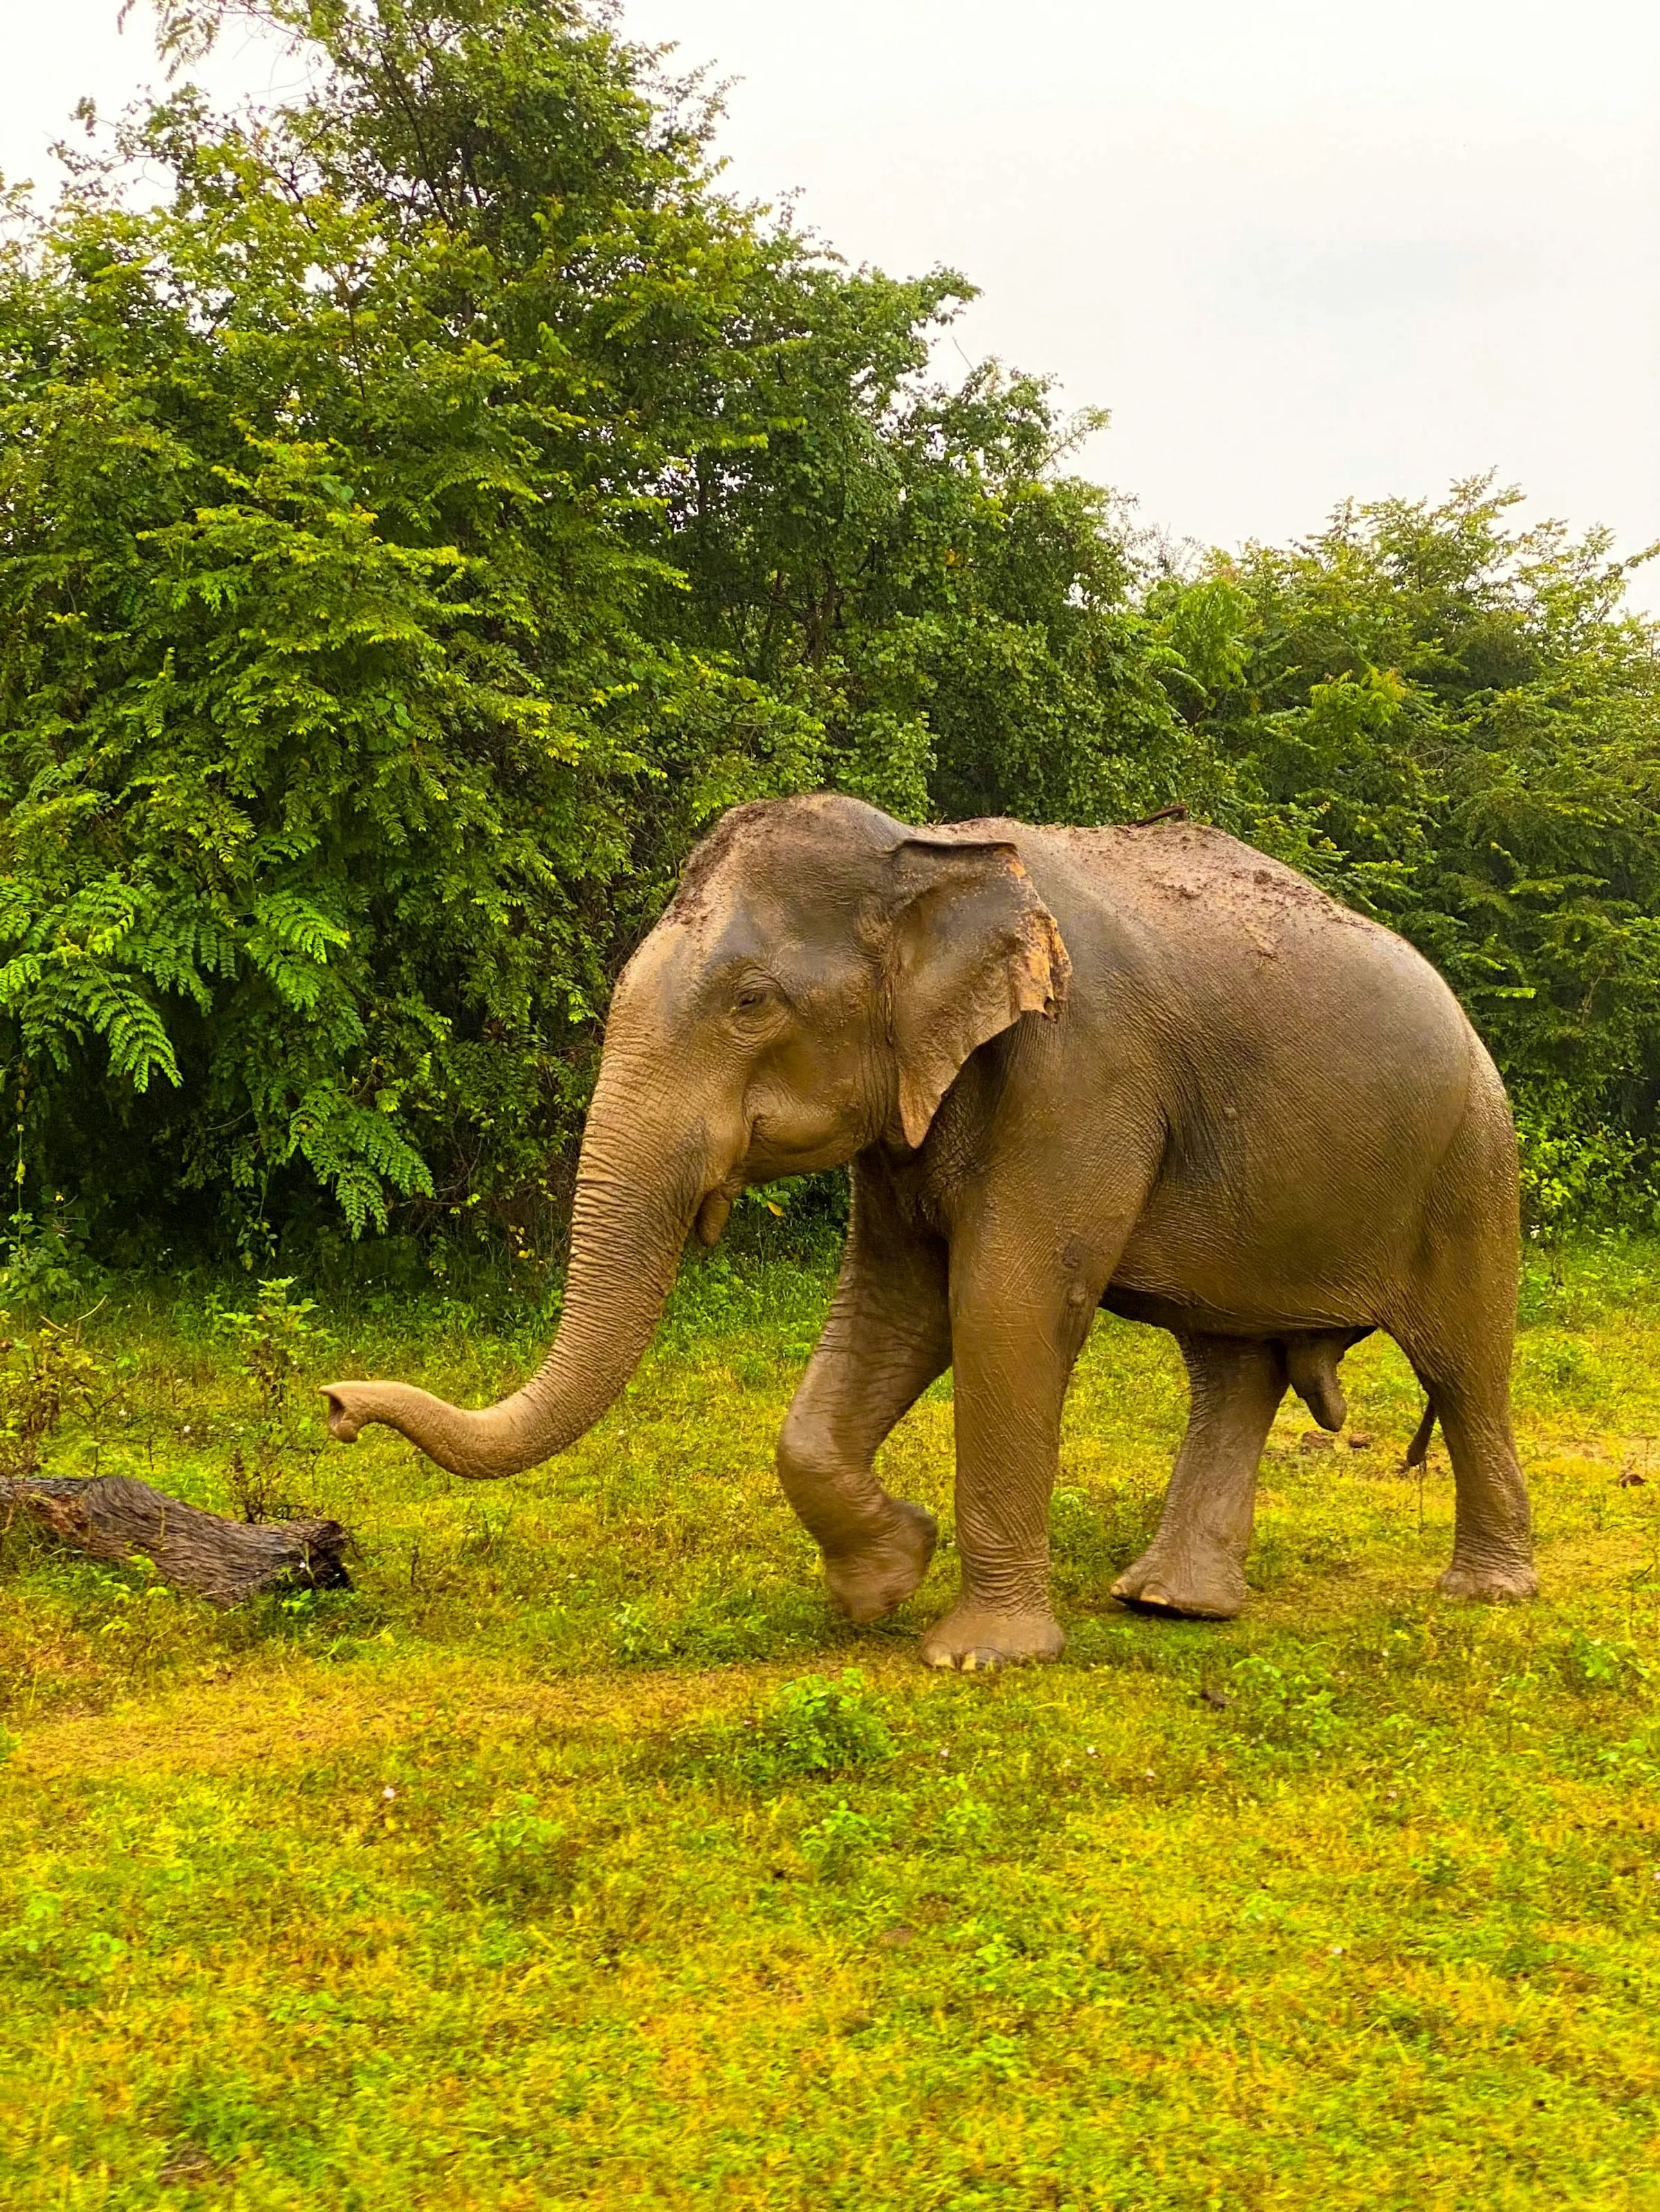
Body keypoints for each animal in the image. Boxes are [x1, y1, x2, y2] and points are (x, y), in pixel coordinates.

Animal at [323, 793, 1536, 1669]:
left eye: (752, 1003)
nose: (335, 1406)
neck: (932, 851)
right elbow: (892, 1302)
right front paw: (882, 1581)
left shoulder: (1080, 1070)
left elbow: (1002, 1301)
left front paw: (976, 1657)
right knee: (1230, 1366)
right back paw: (1169, 1602)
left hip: (1471, 1162)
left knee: (1463, 1362)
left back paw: (1484, 1592)